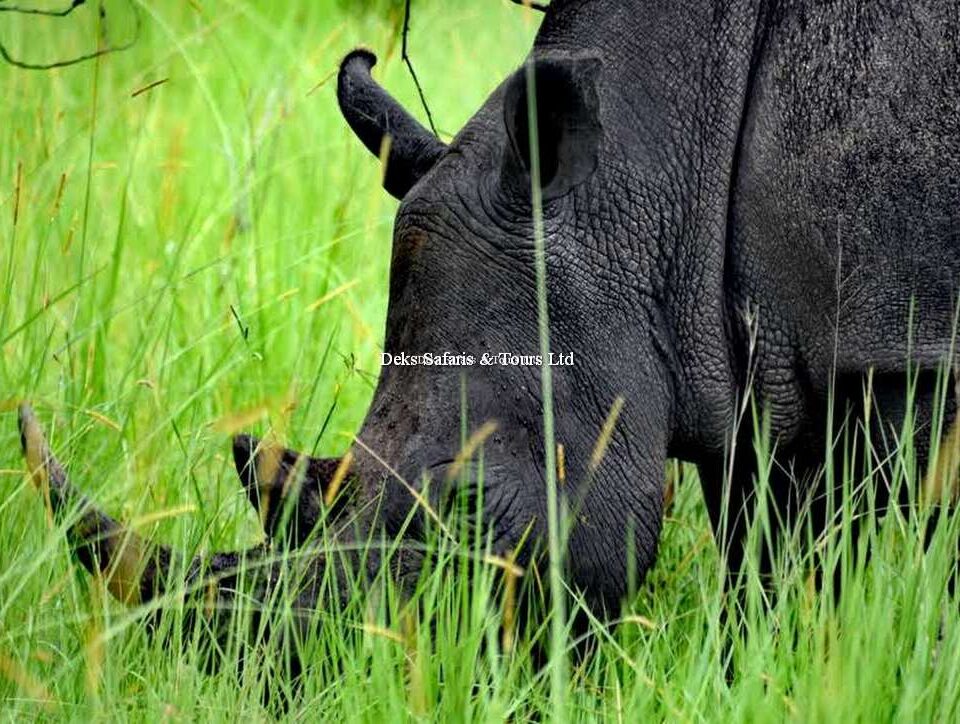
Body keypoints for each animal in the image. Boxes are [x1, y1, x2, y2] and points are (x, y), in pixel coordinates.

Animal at [15, 0, 960, 668]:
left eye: (468, 509)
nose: (296, 680)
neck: (654, 174)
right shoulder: (737, 362)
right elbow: (774, 563)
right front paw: (768, 673)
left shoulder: (903, 347)